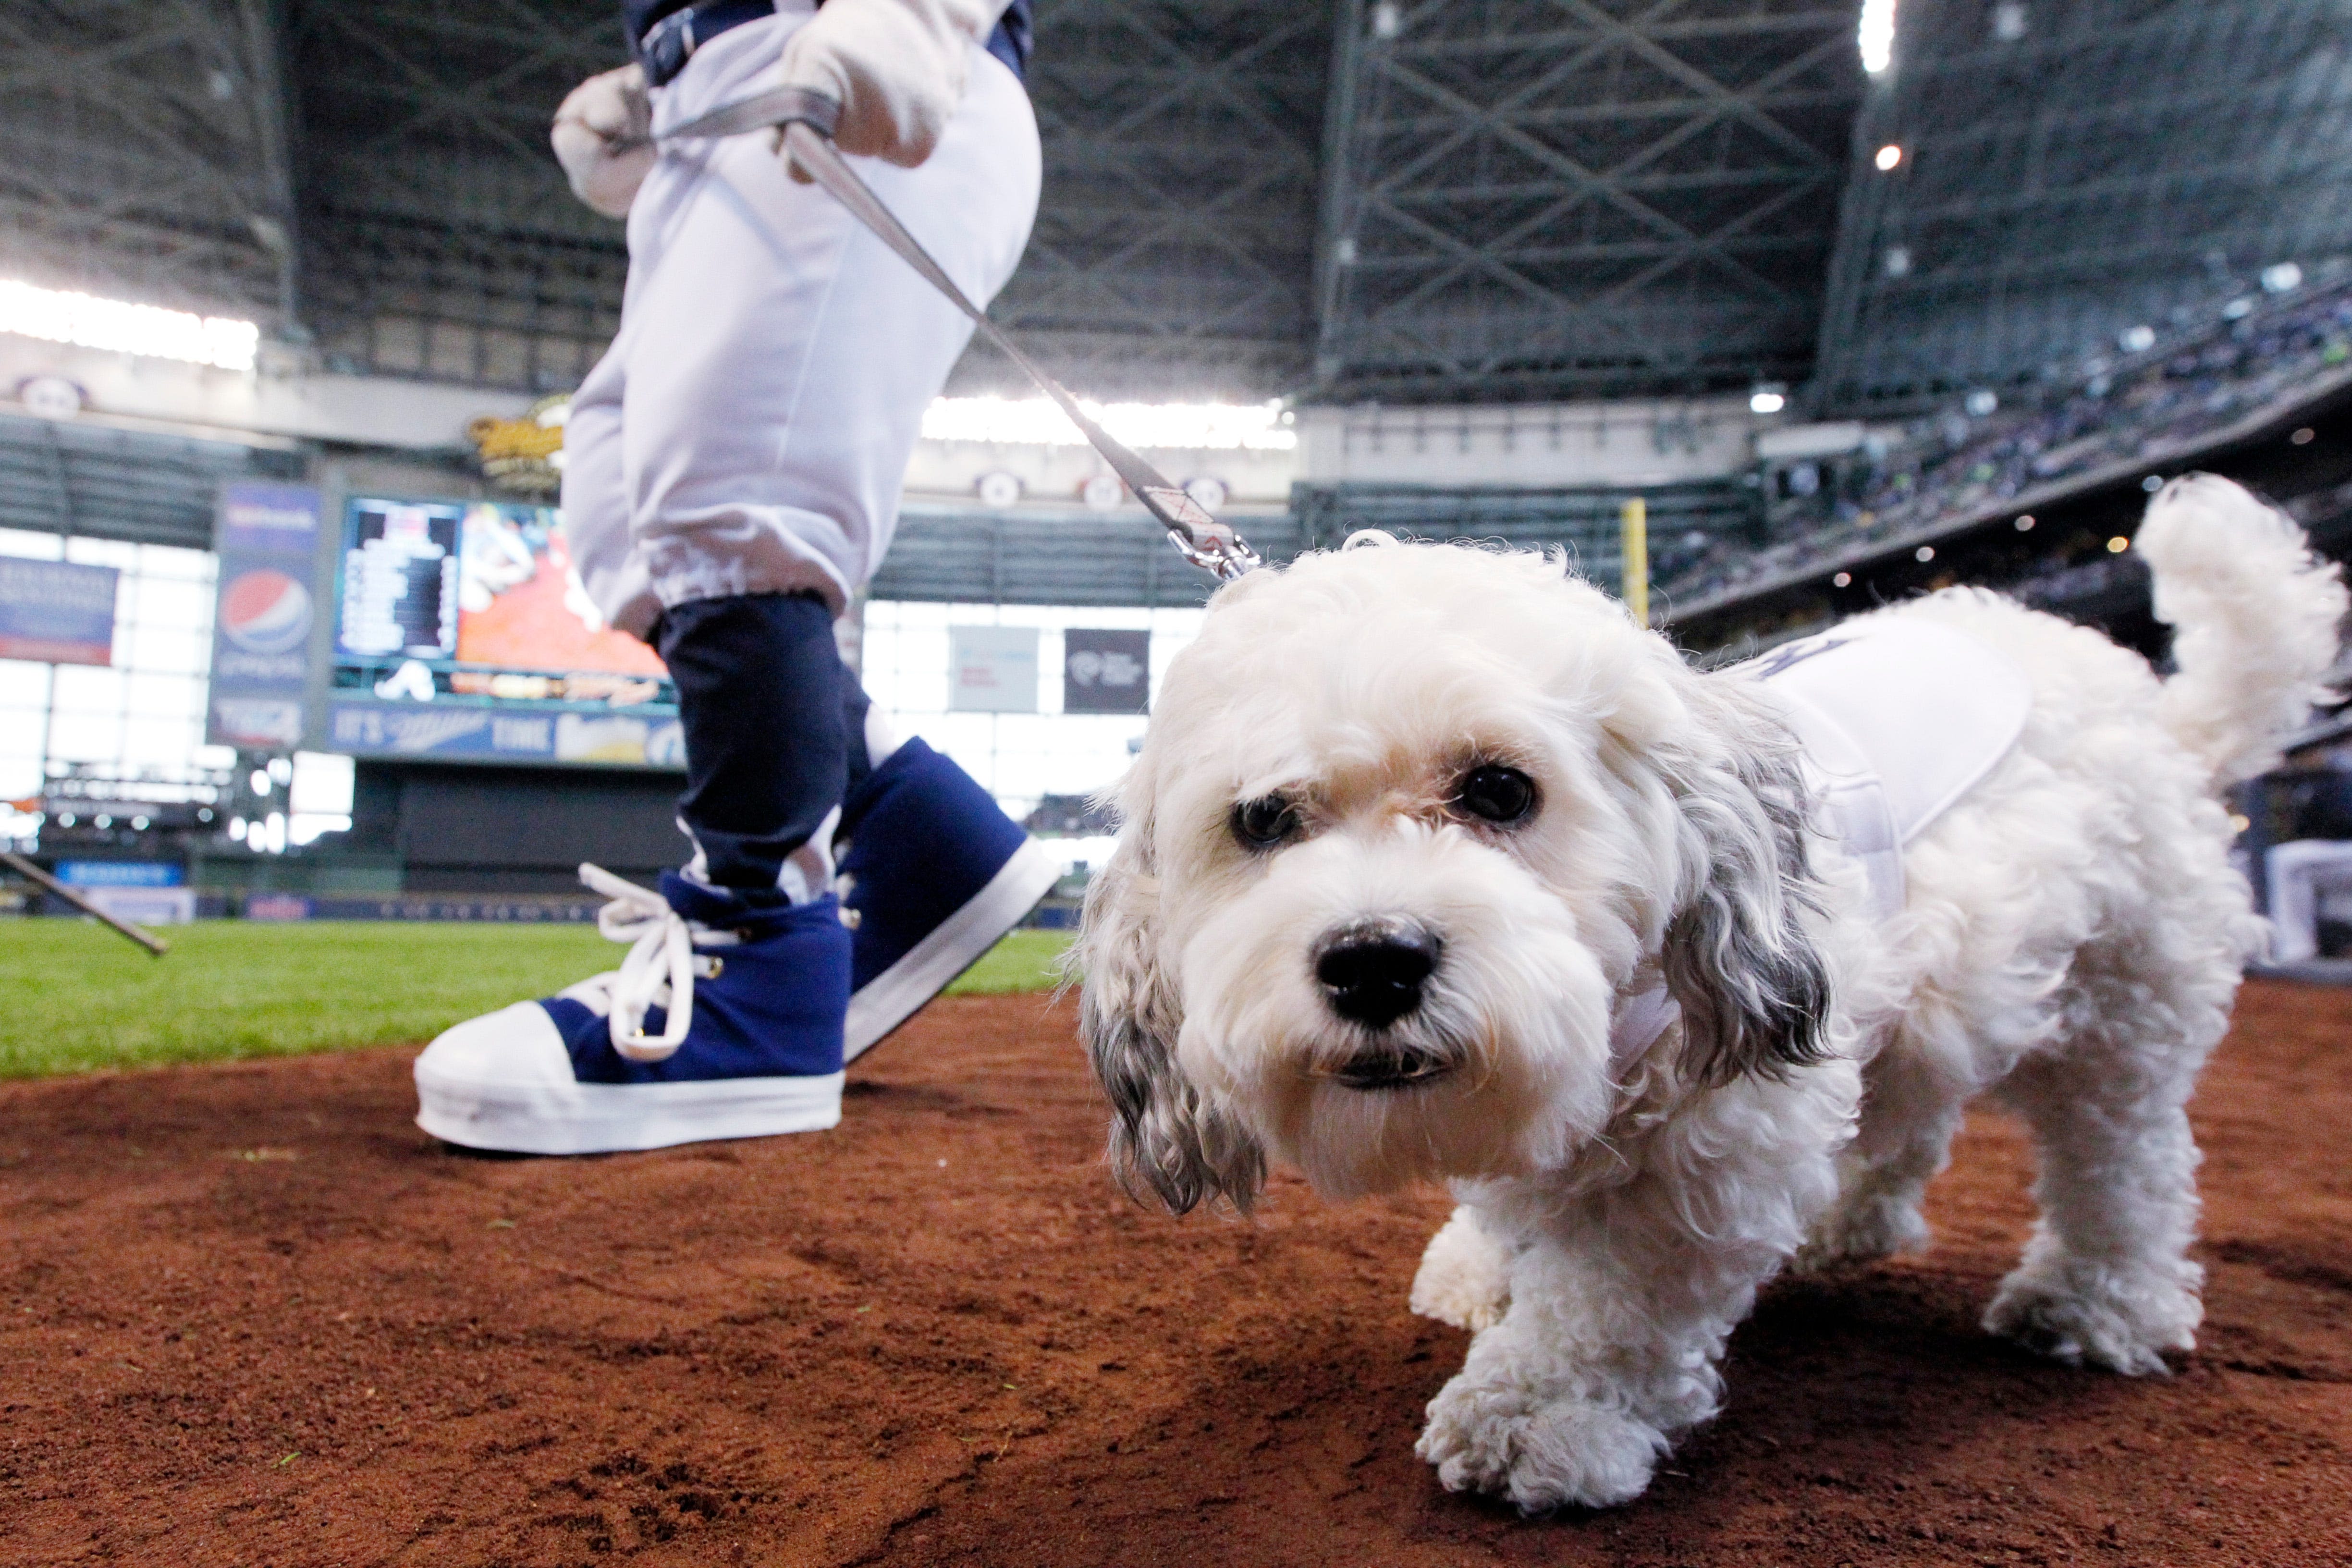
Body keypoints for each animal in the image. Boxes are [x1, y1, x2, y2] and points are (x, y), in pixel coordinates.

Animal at [1077, 475, 2342, 1504]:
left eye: (1499, 790)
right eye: (1262, 819)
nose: (1372, 958)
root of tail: (2152, 702)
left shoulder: (1712, 1144)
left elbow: (1616, 1304)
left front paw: (1537, 1412)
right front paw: (1487, 1264)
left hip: (2122, 1008)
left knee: (2121, 1166)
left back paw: (2092, 1302)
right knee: (1910, 1120)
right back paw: (1848, 1228)